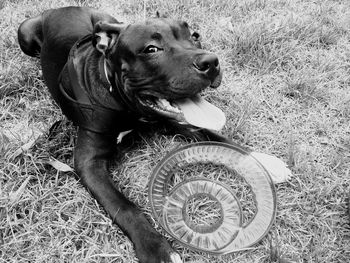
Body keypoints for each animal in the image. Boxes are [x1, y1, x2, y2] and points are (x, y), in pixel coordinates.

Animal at [18, 6, 232, 263]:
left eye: (195, 35)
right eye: (151, 49)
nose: (211, 61)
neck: (127, 106)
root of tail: (61, 8)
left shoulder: (175, 120)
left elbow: (214, 137)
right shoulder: (89, 163)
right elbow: (124, 206)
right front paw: (156, 248)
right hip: (24, 33)